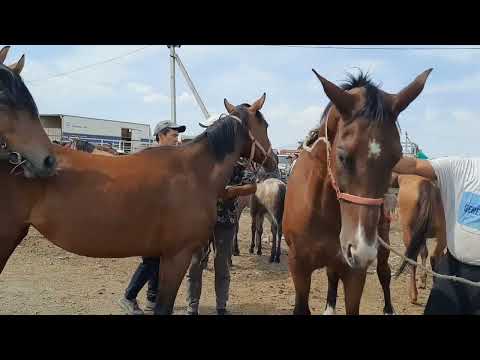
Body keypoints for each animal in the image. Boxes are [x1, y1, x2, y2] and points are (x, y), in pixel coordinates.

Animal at [284, 68, 434, 316]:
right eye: (342, 156)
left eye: (396, 158)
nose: (361, 250)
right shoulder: (299, 267)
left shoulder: (355, 273)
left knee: (384, 273)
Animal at [394, 173, 446, 302]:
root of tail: (425, 185)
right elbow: (424, 253)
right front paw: (423, 280)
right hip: (441, 233)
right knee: (434, 257)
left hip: (409, 231)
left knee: (414, 258)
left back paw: (413, 294)